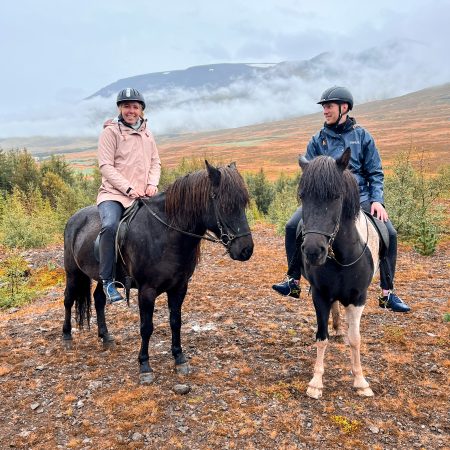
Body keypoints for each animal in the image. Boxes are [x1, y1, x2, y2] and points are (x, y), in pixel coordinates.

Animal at [62, 162, 253, 384]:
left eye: (243, 203)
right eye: (225, 204)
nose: (246, 250)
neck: (165, 234)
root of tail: (74, 219)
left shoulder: (179, 287)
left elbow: (175, 322)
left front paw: (179, 358)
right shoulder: (147, 291)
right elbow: (146, 327)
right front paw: (145, 366)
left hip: (103, 278)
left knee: (99, 299)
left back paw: (105, 336)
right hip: (73, 273)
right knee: (68, 299)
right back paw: (66, 336)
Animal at [298, 149, 380, 400]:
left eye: (336, 197)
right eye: (302, 197)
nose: (313, 251)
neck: (342, 257)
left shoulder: (359, 298)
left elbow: (356, 339)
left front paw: (361, 381)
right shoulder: (320, 295)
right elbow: (321, 337)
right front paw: (316, 382)